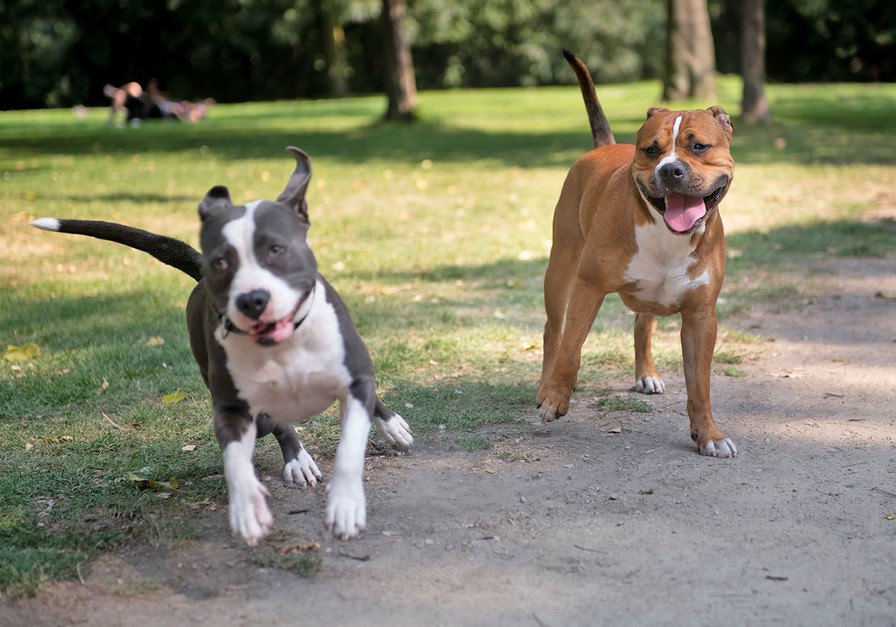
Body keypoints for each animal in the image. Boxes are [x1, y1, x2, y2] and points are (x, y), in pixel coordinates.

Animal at [32, 147, 412, 544]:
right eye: (222, 262)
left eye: (275, 249)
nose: (252, 300)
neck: (283, 346)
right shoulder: (232, 408)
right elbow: (235, 460)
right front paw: (247, 507)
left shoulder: (354, 379)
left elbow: (351, 444)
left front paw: (345, 504)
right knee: (276, 425)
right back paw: (297, 459)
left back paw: (391, 426)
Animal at [540, 51, 736, 458]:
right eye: (651, 150)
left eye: (699, 147)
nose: (671, 169)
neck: (666, 232)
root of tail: (603, 146)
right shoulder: (587, 287)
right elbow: (571, 347)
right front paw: (555, 395)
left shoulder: (701, 316)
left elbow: (700, 384)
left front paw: (709, 434)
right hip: (561, 270)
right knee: (554, 331)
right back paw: (544, 383)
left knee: (642, 324)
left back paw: (646, 374)